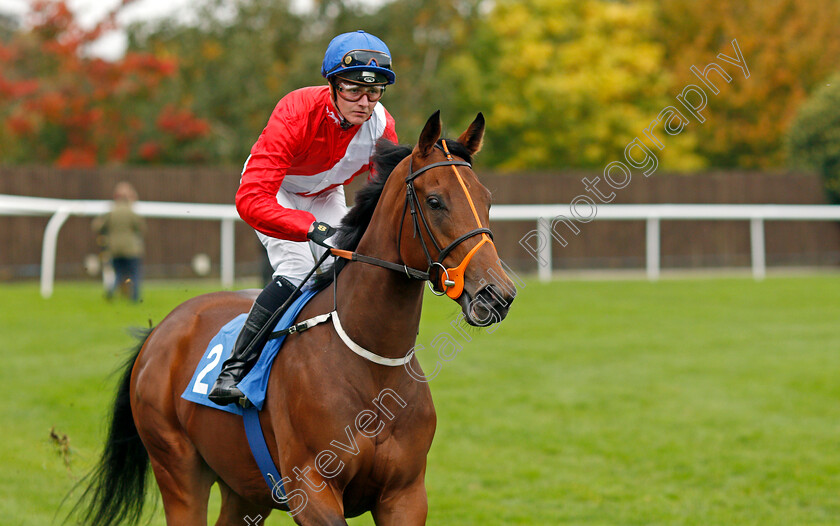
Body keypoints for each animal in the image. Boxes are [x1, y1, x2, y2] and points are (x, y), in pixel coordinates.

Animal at [75, 112, 516, 526]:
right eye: (435, 201)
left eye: (487, 199)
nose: (497, 293)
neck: (371, 362)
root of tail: (159, 333)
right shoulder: (311, 489)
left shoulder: (405, 495)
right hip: (177, 468)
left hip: (245, 487)